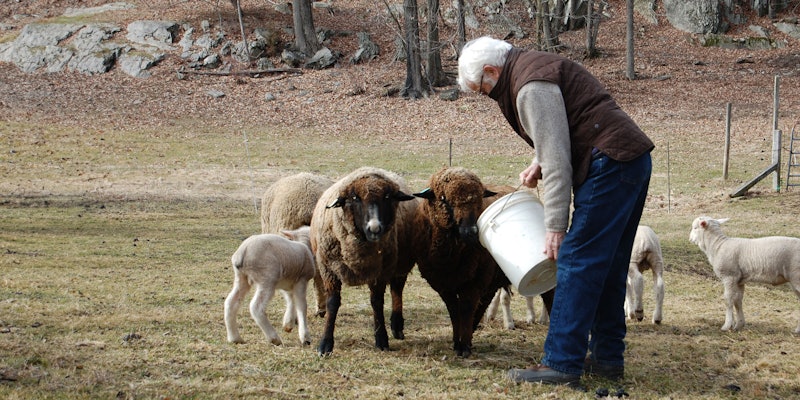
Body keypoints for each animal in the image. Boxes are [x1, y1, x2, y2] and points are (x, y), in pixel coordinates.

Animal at [310, 167, 418, 355]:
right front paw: (325, 344)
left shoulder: (379, 271)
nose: (374, 228)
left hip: (401, 263)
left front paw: (381, 339)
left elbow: (377, 302)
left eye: (387, 197)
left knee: (397, 290)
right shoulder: (328, 269)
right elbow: (332, 304)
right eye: (355, 198)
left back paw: (397, 325)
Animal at [411, 167, 513, 357]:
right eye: (444, 199)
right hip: (491, 277)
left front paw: (464, 346)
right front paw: (457, 342)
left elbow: (465, 309)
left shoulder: (473, 283)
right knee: (484, 302)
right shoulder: (443, 285)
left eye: (480, 199)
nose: (470, 232)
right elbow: (454, 311)